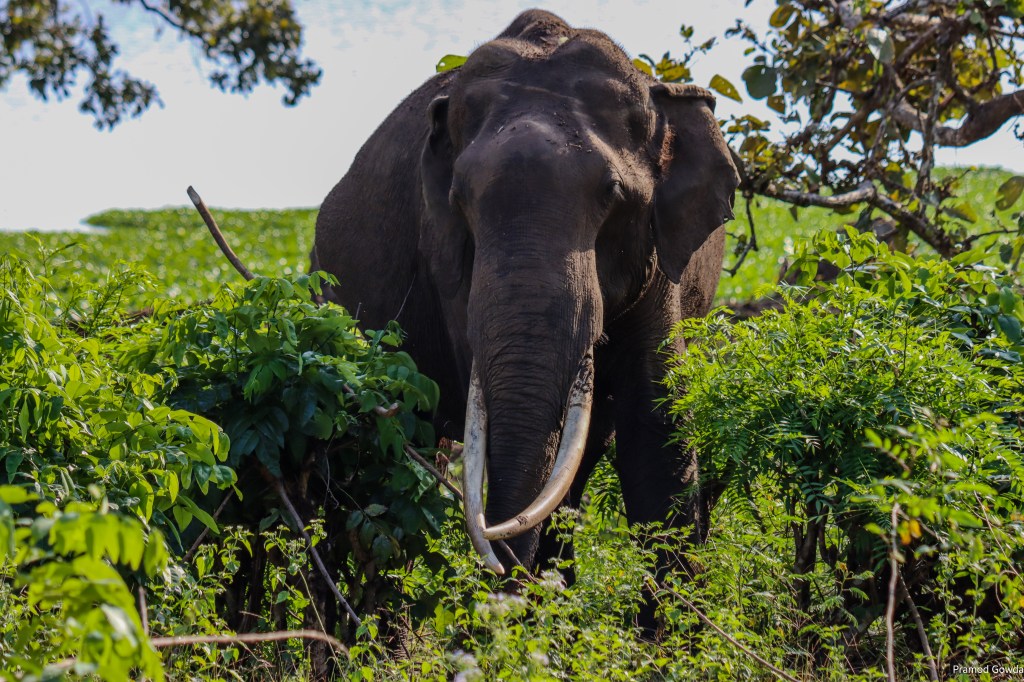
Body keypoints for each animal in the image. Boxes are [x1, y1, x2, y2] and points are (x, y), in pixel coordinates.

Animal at [312, 9, 738, 583]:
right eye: (460, 198)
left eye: (614, 195)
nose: (500, 566)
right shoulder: (448, 261)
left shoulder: (658, 257)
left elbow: (657, 427)